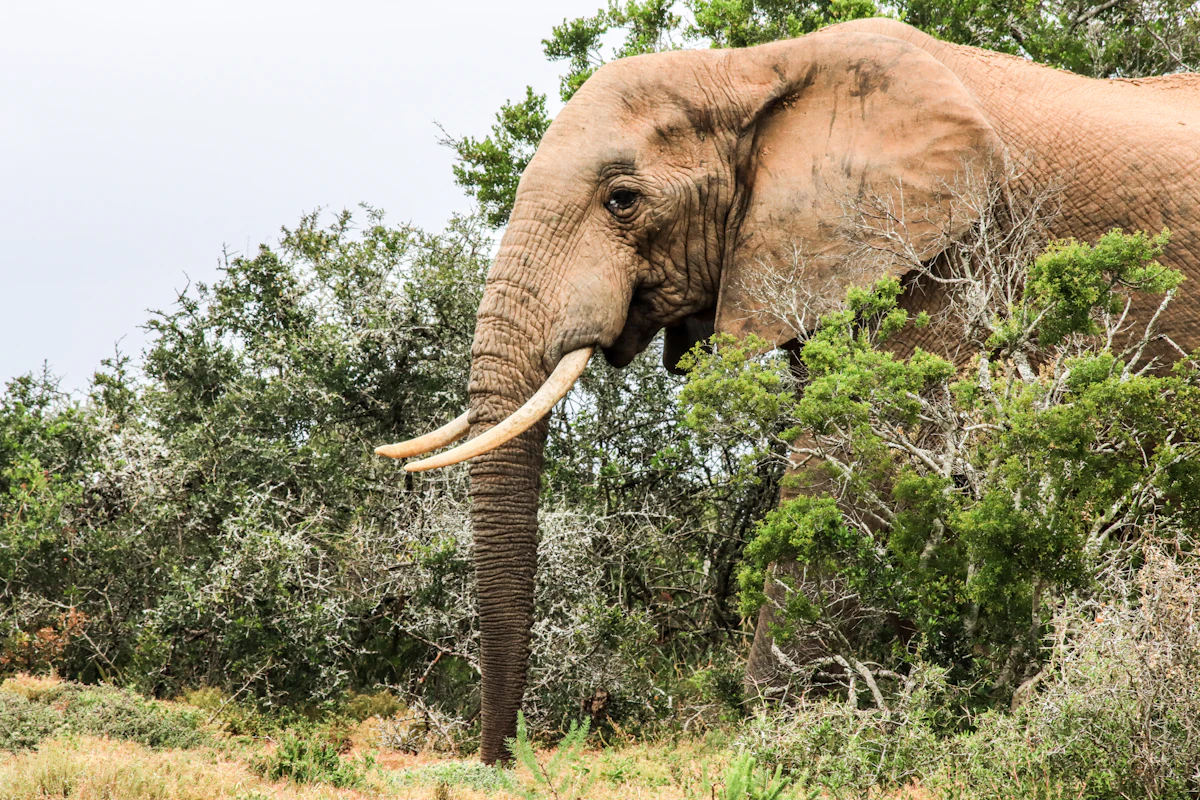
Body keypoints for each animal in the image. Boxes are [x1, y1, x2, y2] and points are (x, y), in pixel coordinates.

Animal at [378, 18, 1200, 763]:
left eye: (622, 200)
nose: (498, 758)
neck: (750, 69)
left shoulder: (942, 252)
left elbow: (860, 455)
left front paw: (780, 724)